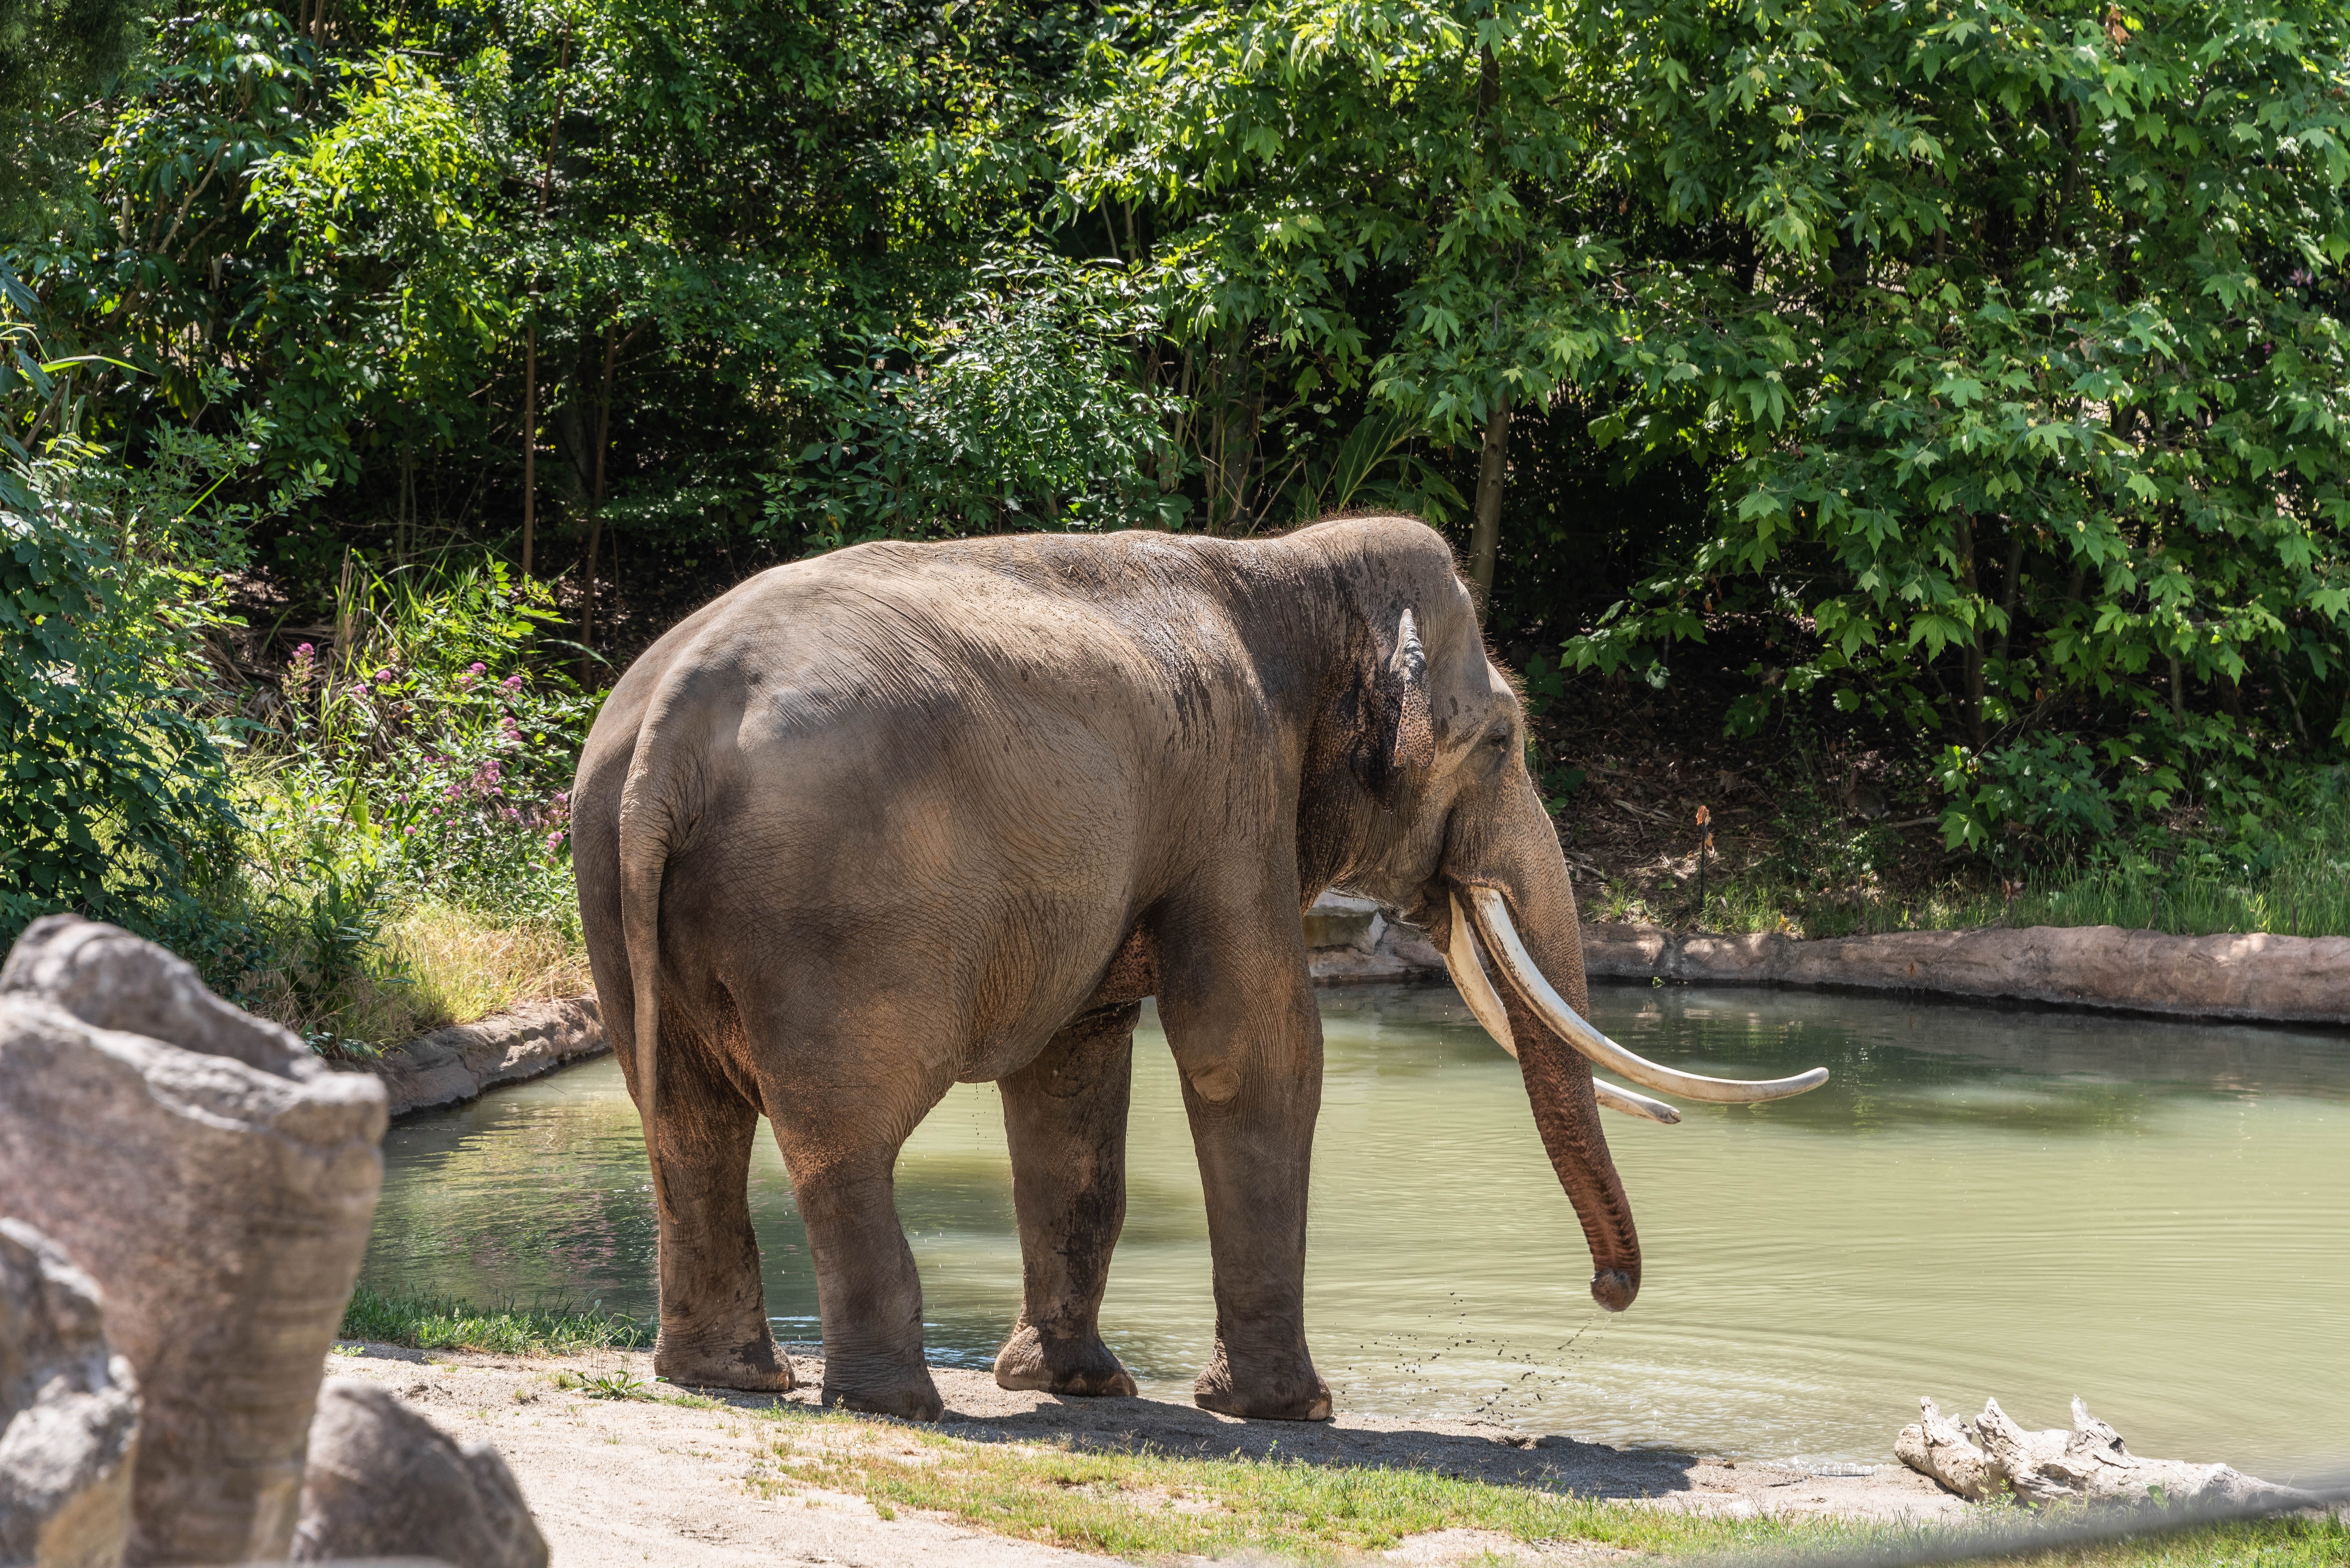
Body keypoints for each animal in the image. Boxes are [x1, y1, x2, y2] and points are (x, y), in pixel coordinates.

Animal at [571, 513, 1823, 1423]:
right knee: (844, 1134)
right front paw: (1292, 1410)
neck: (1282, 566)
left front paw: (1079, 1385)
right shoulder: (1233, 800)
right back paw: (894, 1403)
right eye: (1505, 741)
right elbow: (1255, 1051)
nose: (1607, 1294)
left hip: (616, 883)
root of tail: (672, 719)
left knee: (684, 1119)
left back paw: (730, 1378)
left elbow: (1074, 1075)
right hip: (842, 918)